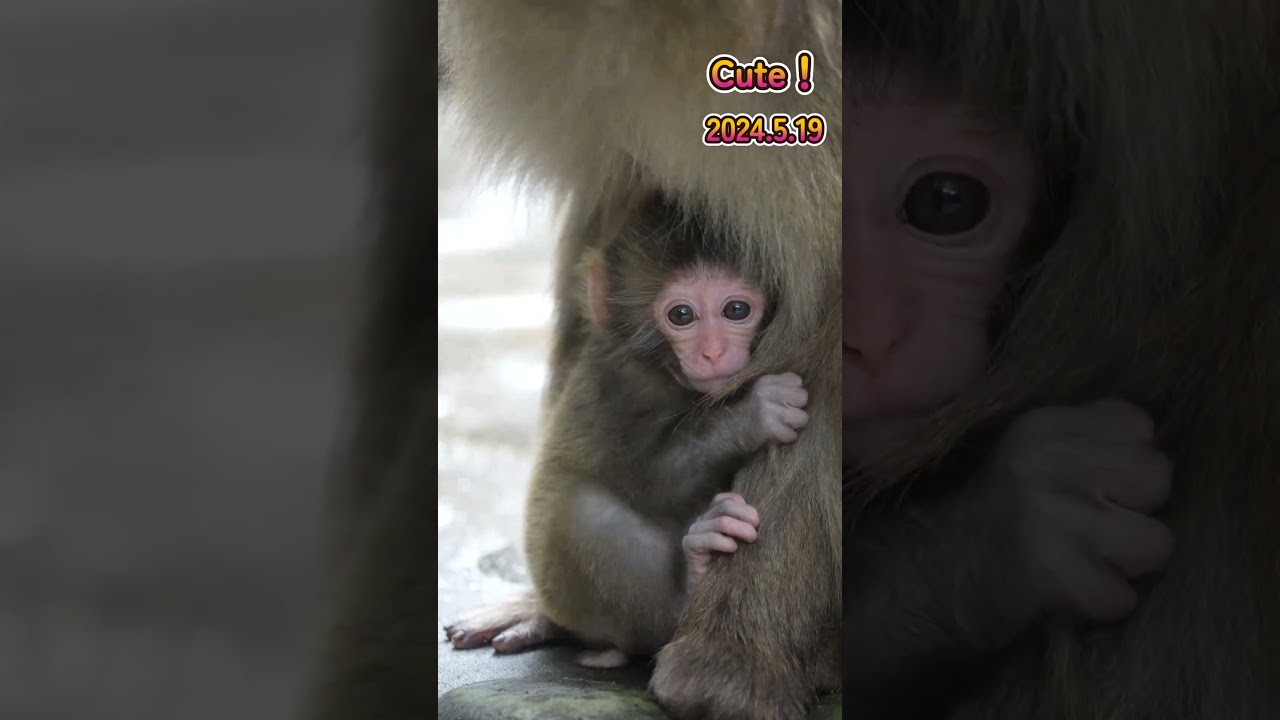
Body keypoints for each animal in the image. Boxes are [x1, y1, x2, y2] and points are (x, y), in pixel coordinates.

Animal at [443, 195, 810, 669]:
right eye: (681, 315)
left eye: (735, 309)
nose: (712, 352)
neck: (666, 372)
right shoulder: (620, 382)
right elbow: (650, 480)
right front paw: (755, 413)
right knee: (584, 512)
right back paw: (691, 579)